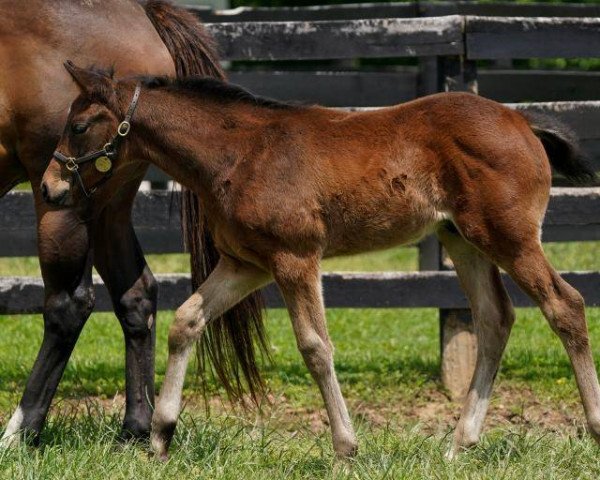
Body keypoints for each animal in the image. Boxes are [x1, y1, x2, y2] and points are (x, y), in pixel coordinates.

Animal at [0, 0, 260, 444]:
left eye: (79, 126)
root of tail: (143, 12)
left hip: (67, 203)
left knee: (68, 305)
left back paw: (20, 430)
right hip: (106, 201)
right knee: (135, 295)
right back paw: (136, 427)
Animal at [43, 65, 600, 460]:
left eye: (78, 125)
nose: (49, 188)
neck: (238, 154)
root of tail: (521, 119)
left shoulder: (295, 258)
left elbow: (315, 347)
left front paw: (345, 447)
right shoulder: (246, 264)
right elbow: (187, 320)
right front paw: (161, 435)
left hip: (509, 238)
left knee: (565, 305)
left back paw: (592, 426)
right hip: (462, 241)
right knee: (494, 319)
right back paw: (459, 443)